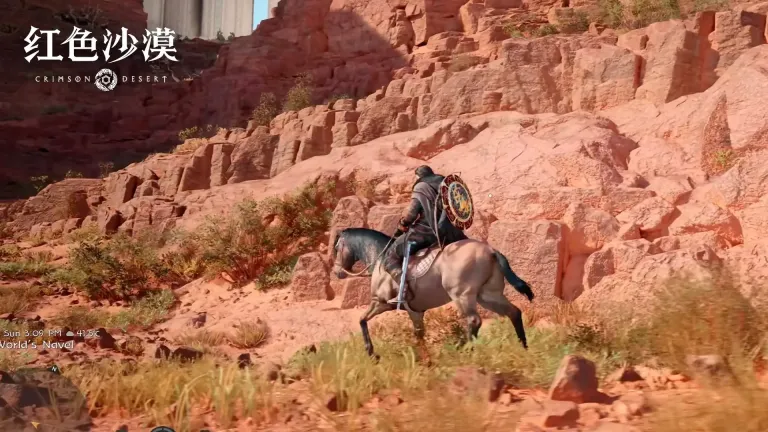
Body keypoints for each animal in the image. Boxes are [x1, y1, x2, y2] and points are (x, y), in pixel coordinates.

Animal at [331, 227, 534, 357]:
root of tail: (491, 251)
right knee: (514, 312)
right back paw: (523, 349)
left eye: (337, 248)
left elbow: (362, 320)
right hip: (488, 296)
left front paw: (372, 353)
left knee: (474, 321)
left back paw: (465, 351)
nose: (336, 272)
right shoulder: (416, 312)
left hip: (462, 296)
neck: (380, 258)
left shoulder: (379, 303)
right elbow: (419, 335)